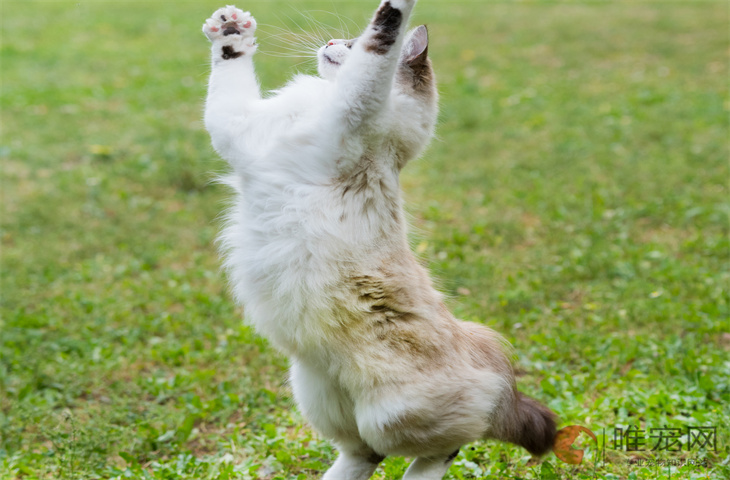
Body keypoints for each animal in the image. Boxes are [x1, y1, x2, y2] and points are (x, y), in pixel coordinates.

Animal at [202, 1, 556, 478]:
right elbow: (229, 68)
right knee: (364, 454)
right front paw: (231, 30)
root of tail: (485, 362)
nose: (331, 43)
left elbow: (382, 39)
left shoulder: (357, 105)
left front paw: (397, 10)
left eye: (351, 45)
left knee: (448, 446)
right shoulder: (237, 127)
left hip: (393, 416)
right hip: (322, 398)